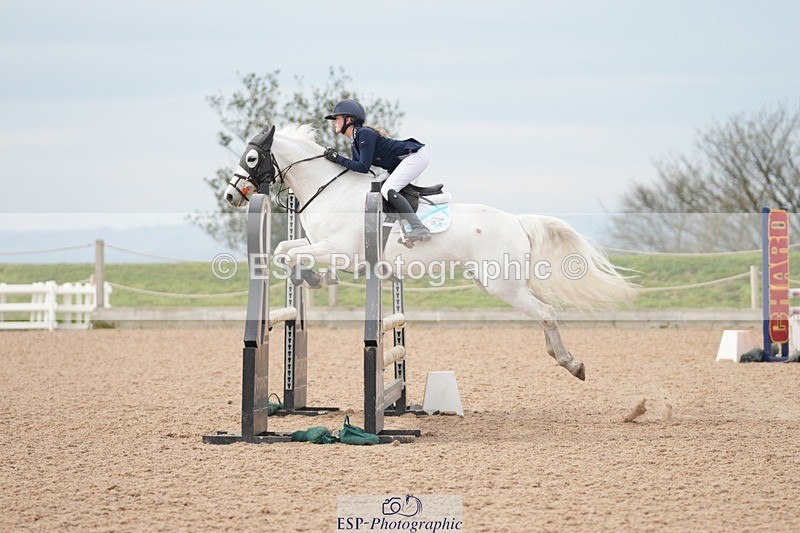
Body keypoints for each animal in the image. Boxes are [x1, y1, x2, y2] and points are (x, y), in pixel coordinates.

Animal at [224, 124, 636, 381]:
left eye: (251, 159)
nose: (231, 196)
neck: (330, 190)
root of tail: (517, 221)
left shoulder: (340, 251)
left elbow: (294, 254)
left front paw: (314, 276)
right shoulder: (319, 245)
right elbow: (283, 249)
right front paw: (311, 277)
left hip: (502, 286)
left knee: (546, 313)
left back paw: (572, 363)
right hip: (499, 283)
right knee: (544, 310)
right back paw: (562, 358)